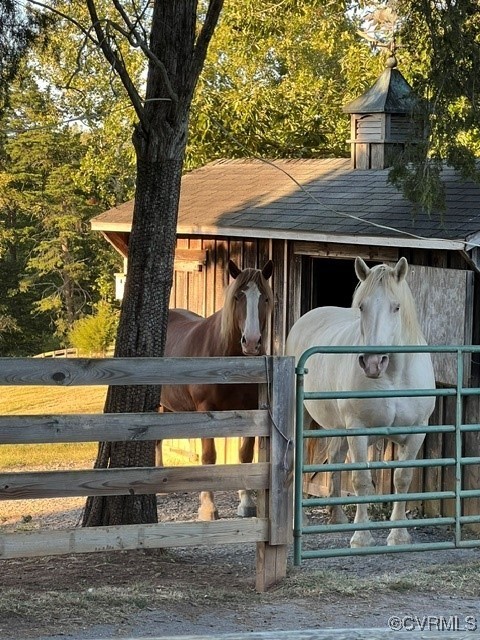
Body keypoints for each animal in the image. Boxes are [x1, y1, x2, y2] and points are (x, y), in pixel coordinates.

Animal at [160, 259, 274, 521]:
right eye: (238, 297)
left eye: (265, 298)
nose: (251, 342)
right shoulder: (206, 410)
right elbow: (209, 456)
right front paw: (208, 507)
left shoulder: (251, 411)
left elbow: (245, 455)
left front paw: (246, 503)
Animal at [285, 257, 435, 548]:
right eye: (362, 306)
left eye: (396, 307)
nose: (373, 362)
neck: (393, 377)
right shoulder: (358, 429)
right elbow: (362, 479)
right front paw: (362, 537)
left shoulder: (416, 431)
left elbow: (402, 478)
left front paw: (399, 534)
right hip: (304, 417)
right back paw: (303, 520)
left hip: (337, 427)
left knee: (335, 456)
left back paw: (337, 516)